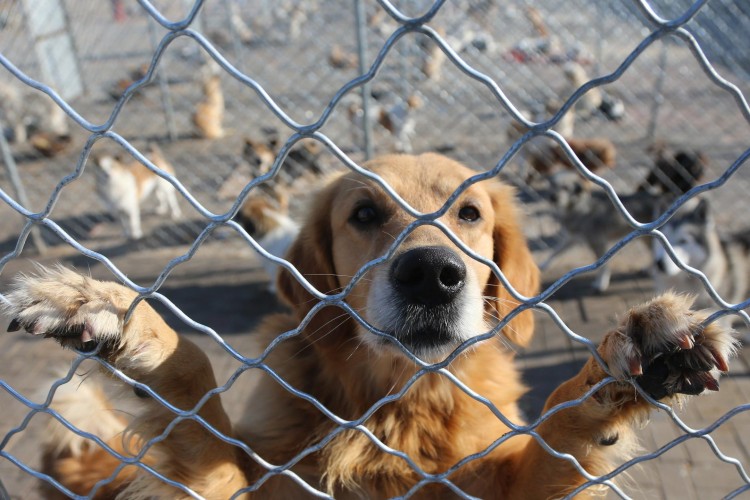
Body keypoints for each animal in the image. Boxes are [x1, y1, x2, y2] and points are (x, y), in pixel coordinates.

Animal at [2, 154, 736, 498]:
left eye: (470, 213)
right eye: (363, 213)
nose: (432, 274)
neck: (396, 404)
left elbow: (559, 427)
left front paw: (627, 360)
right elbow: (194, 381)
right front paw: (117, 315)